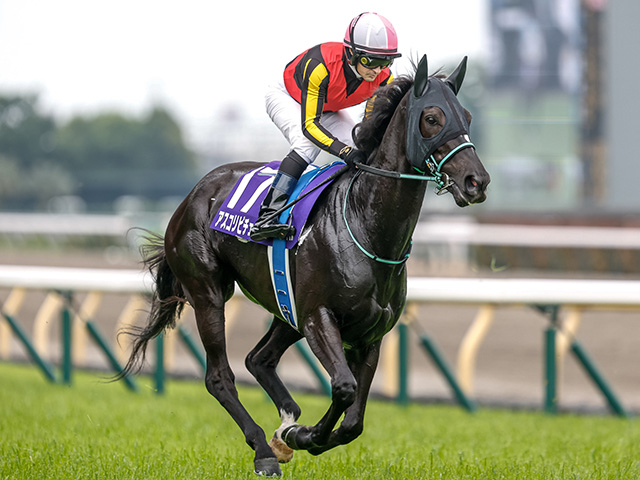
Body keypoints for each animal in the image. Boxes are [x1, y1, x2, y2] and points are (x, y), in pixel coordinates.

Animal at [120, 55, 490, 477]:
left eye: (467, 116)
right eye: (431, 117)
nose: (476, 181)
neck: (366, 224)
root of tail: (192, 195)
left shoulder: (370, 334)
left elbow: (354, 422)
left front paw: (298, 433)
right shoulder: (319, 317)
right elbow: (343, 388)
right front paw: (304, 435)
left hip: (286, 308)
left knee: (258, 359)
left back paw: (284, 426)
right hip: (209, 293)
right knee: (219, 376)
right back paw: (264, 450)